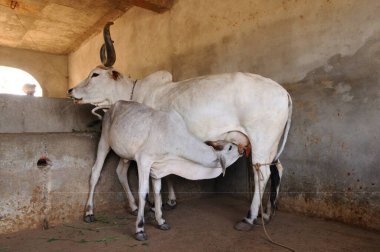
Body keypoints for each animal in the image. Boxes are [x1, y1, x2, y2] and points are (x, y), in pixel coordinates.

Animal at [89, 100, 240, 240]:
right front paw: (140, 229)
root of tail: (113, 105)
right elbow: (144, 193)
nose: (242, 149)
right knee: (95, 172)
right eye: (230, 147)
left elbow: (158, 192)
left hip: (126, 155)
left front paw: (161, 221)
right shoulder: (144, 160)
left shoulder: (158, 167)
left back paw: (133, 207)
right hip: (104, 142)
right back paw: (89, 213)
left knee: (120, 172)